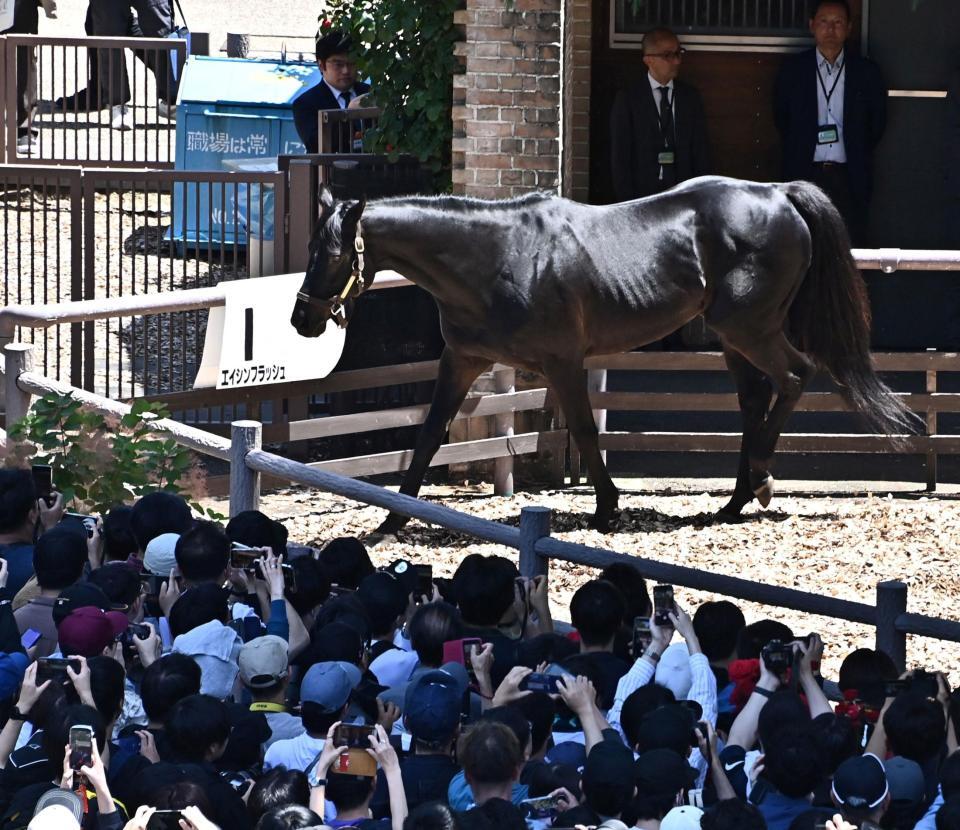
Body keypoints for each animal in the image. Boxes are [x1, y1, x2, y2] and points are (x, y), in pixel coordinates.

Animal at [291, 176, 918, 532]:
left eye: (331, 252)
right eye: (312, 247)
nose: (302, 319)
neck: (497, 256)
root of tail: (777, 195)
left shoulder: (563, 362)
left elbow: (586, 431)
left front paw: (606, 508)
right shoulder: (462, 361)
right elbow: (426, 436)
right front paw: (392, 520)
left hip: (750, 327)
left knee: (794, 377)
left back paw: (761, 482)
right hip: (733, 336)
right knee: (753, 399)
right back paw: (736, 501)